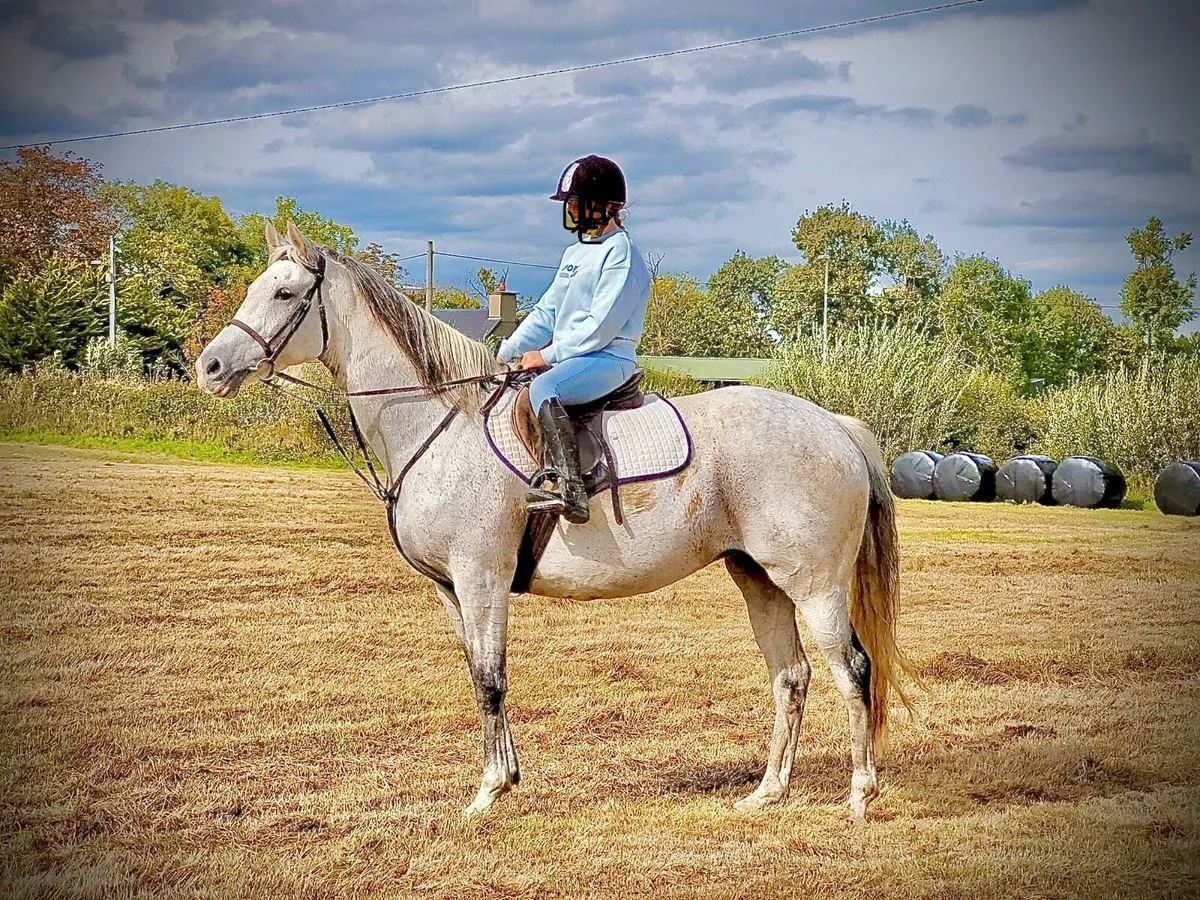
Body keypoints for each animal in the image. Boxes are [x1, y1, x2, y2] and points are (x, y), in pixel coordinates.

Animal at [196, 221, 910, 819]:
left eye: (285, 293)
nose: (210, 366)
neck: (441, 424)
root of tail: (835, 427)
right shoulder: (452, 590)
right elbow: (480, 673)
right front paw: (504, 778)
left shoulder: (480, 577)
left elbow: (490, 677)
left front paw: (488, 792)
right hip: (759, 580)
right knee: (792, 676)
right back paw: (767, 793)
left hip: (814, 585)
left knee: (853, 669)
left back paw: (859, 795)